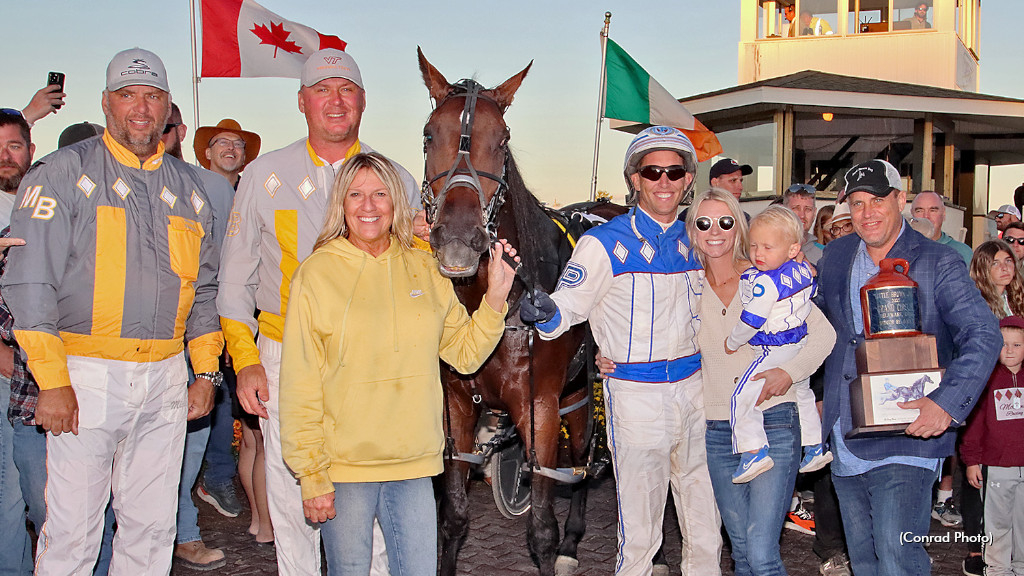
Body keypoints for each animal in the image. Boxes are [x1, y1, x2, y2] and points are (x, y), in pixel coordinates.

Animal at [415, 48, 593, 573]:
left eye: (504, 138)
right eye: (430, 133)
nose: (459, 236)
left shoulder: (540, 407)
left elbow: (541, 530)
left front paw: (555, 542)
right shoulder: (456, 405)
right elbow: (453, 517)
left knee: (582, 458)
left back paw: (573, 542)